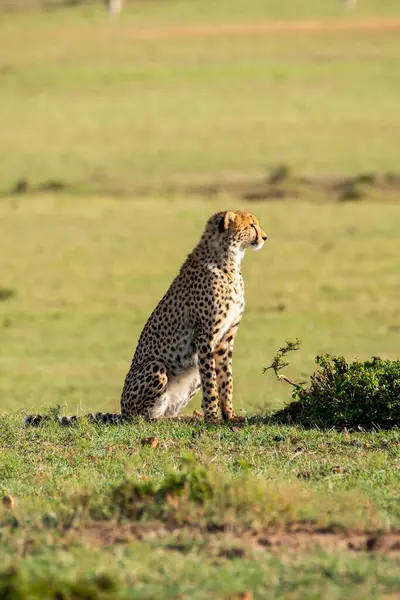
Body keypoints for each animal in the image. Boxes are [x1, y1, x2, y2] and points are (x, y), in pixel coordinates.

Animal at [26, 211, 268, 426]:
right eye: (251, 225)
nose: (265, 237)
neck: (229, 259)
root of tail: (122, 411)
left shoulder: (225, 338)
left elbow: (226, 380)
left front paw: (230, 415)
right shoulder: (205, 337)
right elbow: (212, 383)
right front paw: (212, 418)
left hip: (191, 376)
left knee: (164, 412)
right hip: (156, 367)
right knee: (145, 417)